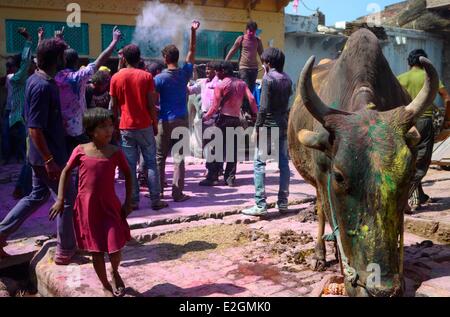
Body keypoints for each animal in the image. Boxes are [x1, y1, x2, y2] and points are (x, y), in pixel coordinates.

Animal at [286, 27, 438, 296]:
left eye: (408, 174)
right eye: (338, 176)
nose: (381, 289)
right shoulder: (323, 179)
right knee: (321, 210)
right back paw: (320, 255)